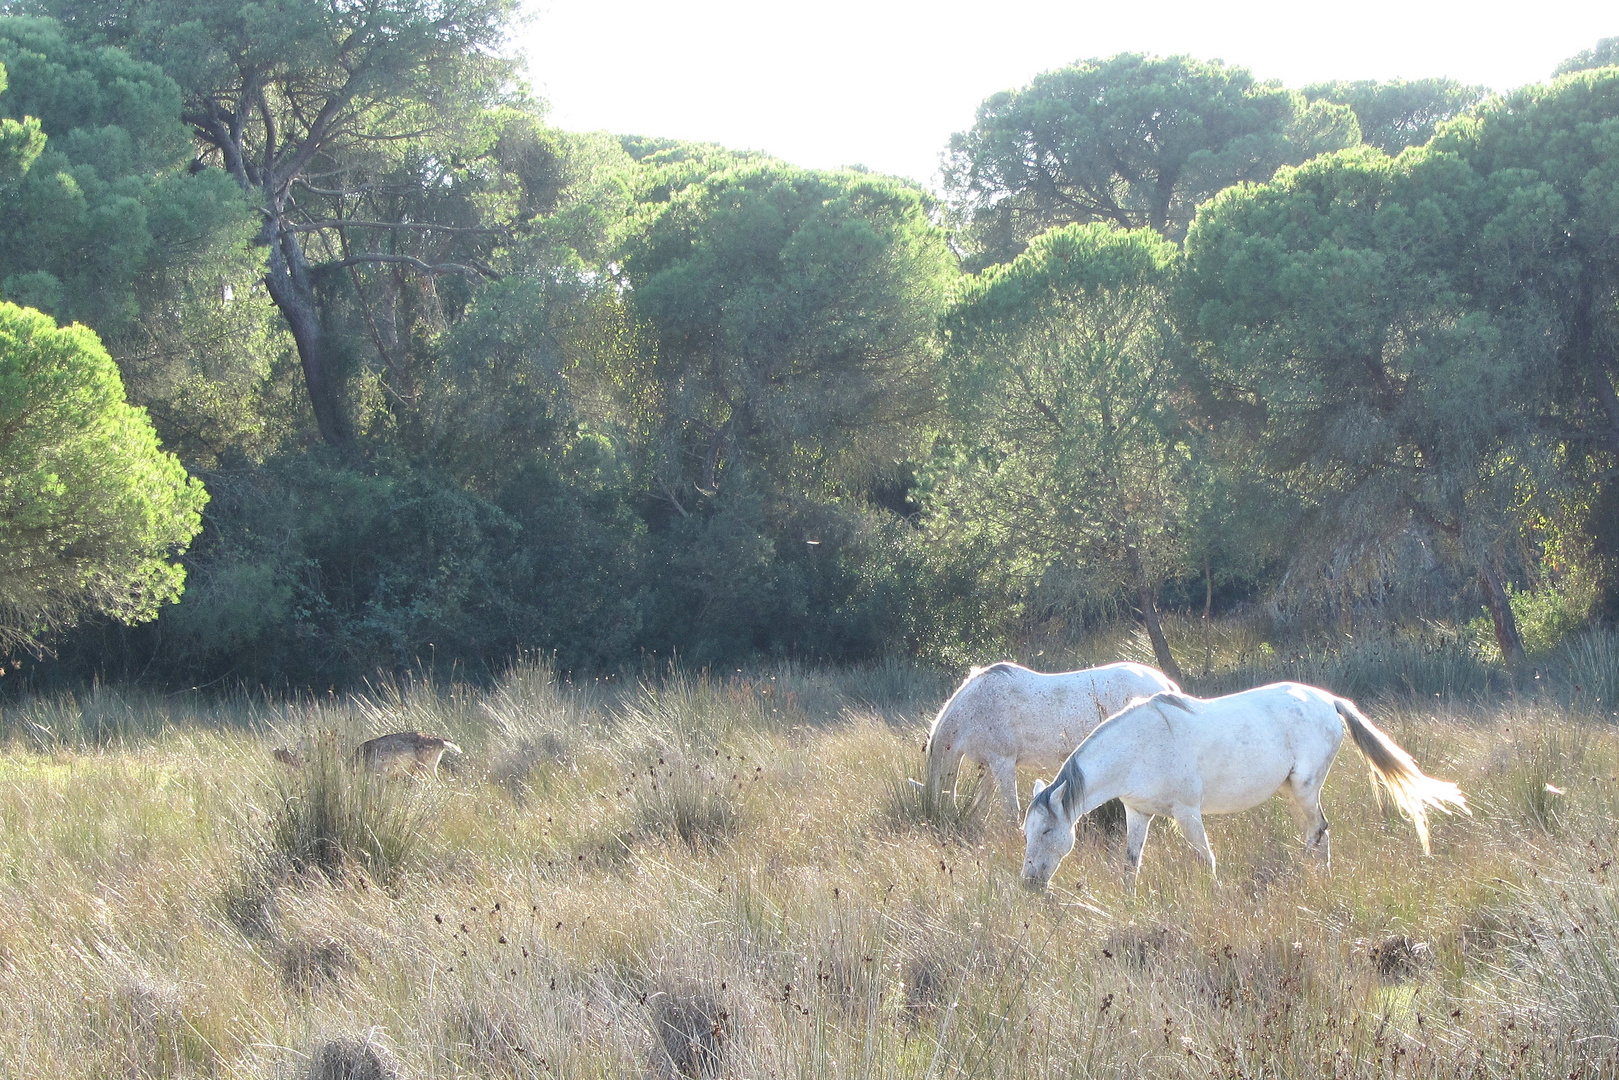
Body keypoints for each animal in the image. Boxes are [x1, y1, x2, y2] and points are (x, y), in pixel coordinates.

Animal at [932, 663, 1185, 822]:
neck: (975, 707)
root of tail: (1166, 683)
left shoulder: (1003, 762)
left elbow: (1011, 810)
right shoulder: (988, 765)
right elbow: (981, 804)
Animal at [1023, 683, 1470, 887]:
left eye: (1045, 831)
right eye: (1026, 832)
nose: (1029, 884)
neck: (1139, 745)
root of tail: (1329, 700)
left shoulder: (1187, 813)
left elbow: (1206, 859)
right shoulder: (1138, 813)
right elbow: (1131, 864)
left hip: (1305, 789)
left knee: (1318, 832)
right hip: (1294, 793)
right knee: (1320, 834)